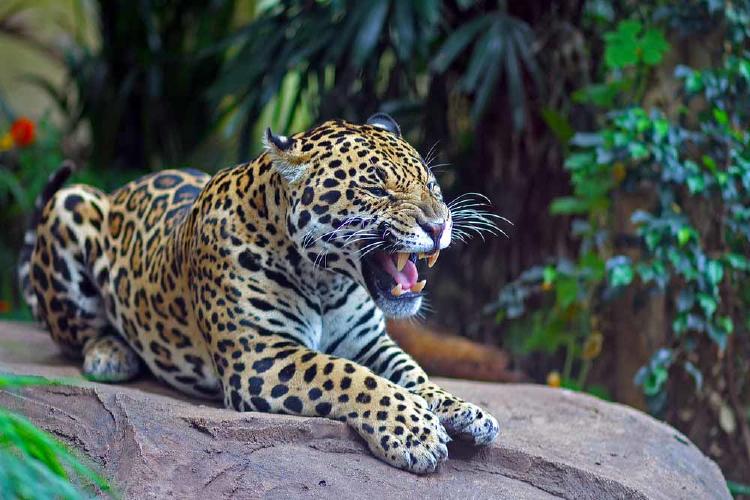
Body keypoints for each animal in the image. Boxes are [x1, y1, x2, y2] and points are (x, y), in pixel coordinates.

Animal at [18, 114, 500, 474]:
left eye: (432, 185)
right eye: (376, 188)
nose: (439, 226)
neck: (327, 283)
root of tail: (120, 190)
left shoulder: (369, 342)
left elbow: (412, 374)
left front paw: (462, 409)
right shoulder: (259, 354)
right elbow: (348, 375)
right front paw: (415, 432)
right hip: (70, 202)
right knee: (75, 333)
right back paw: (110, 354)